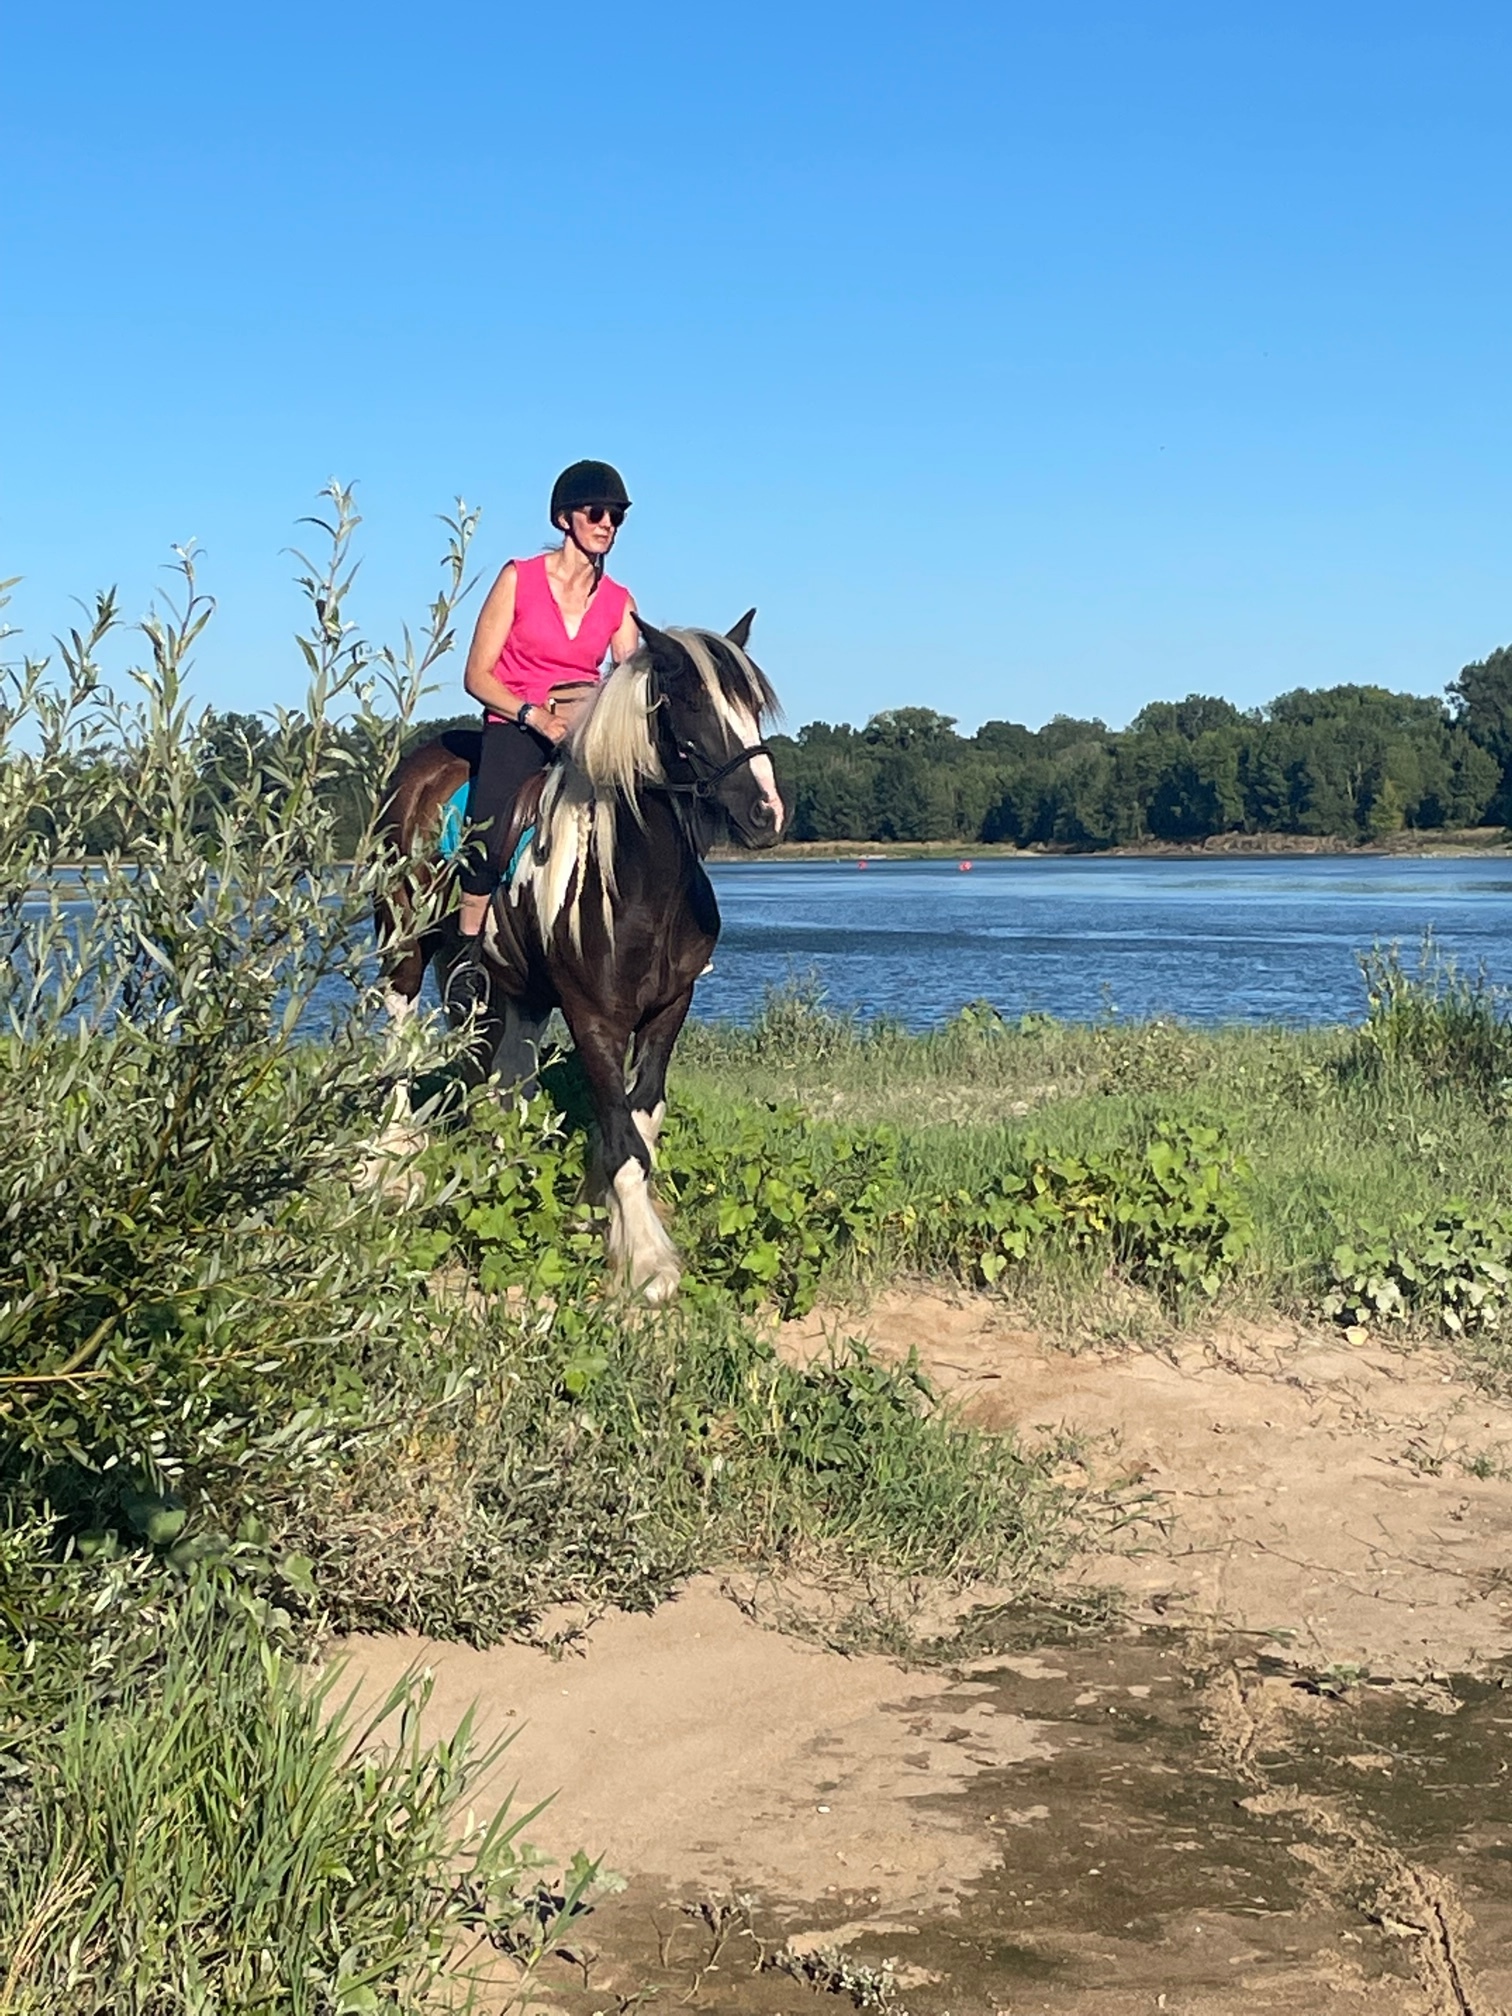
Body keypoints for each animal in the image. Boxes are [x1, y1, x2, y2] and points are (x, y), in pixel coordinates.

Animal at [375, 613, 784, 1301]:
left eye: (752, 705)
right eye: (692, 703)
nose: (766, 814)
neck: (640, 881)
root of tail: (419, 767)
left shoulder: (671, 1006)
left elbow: (641, 1116)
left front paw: (599, 1213)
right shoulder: (593, 1015)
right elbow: (621, 1130)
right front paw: (647, 1260)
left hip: (510, 985)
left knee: (508, 1074)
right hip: (404, 943)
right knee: (399, 1036)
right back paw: (391, 1163)